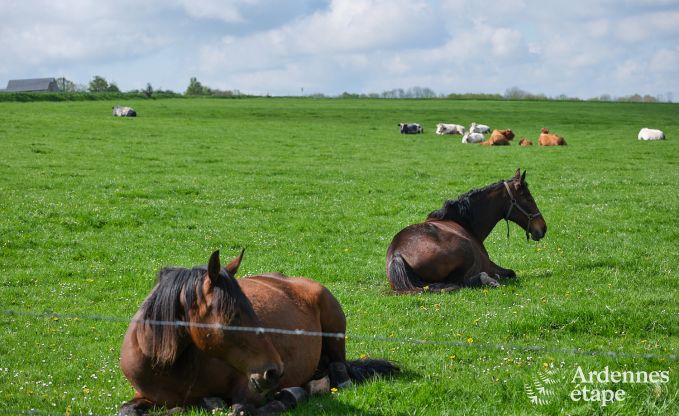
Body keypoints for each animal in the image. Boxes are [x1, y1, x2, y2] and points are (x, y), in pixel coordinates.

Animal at [120, 249, 402, 414]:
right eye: (233, 316)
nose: (274, 371)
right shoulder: (142, 395)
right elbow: (127, 410)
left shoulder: (248, 390)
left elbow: (240, 409)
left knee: (339, 371)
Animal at [388, 169, 548, 292]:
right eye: (528, 198)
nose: (543, 228)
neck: (463, 221)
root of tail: (397, 254)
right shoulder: (489, 264)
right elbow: (511, 272)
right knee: (460, 282)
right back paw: (488, 280)